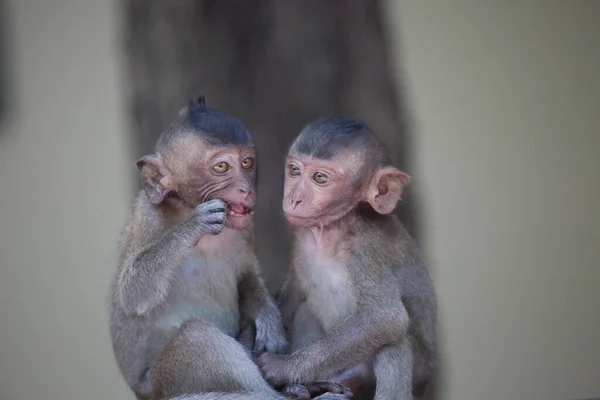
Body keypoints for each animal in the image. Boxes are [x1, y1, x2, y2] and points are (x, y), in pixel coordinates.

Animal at [108, 98, 346, 400]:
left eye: (247, 162)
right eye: (221, 167)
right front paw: (193, 226)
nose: (246, 188)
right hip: (166, 382)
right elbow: (132, 295)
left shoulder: (245, 226)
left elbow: (246, 274)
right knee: (195, 337)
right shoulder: (151, 218)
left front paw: (269, 322)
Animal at [260, 117, 438, 398]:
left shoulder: (365, 247)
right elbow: (296, 291)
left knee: (395, 339)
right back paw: (312, 385)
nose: (294, 198)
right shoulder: (299, 233)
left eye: (320, 178)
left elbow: (384, 318)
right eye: (295, 171)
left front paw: (279, 368)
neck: (333, 229)